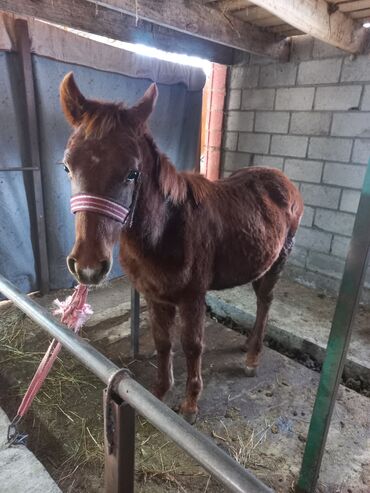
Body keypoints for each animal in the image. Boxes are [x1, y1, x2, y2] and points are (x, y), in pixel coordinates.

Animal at [60, 73, 304, 422]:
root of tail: (282, 180)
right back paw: (247, 346)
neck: (166, 232)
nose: (89, 267)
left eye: (133, 172)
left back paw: (252, 358)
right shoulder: (154, 295)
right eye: (67, 167)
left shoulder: (192, 297)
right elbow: (163, 342)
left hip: (279, 262)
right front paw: (160, 393)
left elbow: (192, 345)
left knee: (265, 302)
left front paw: (189, 404)